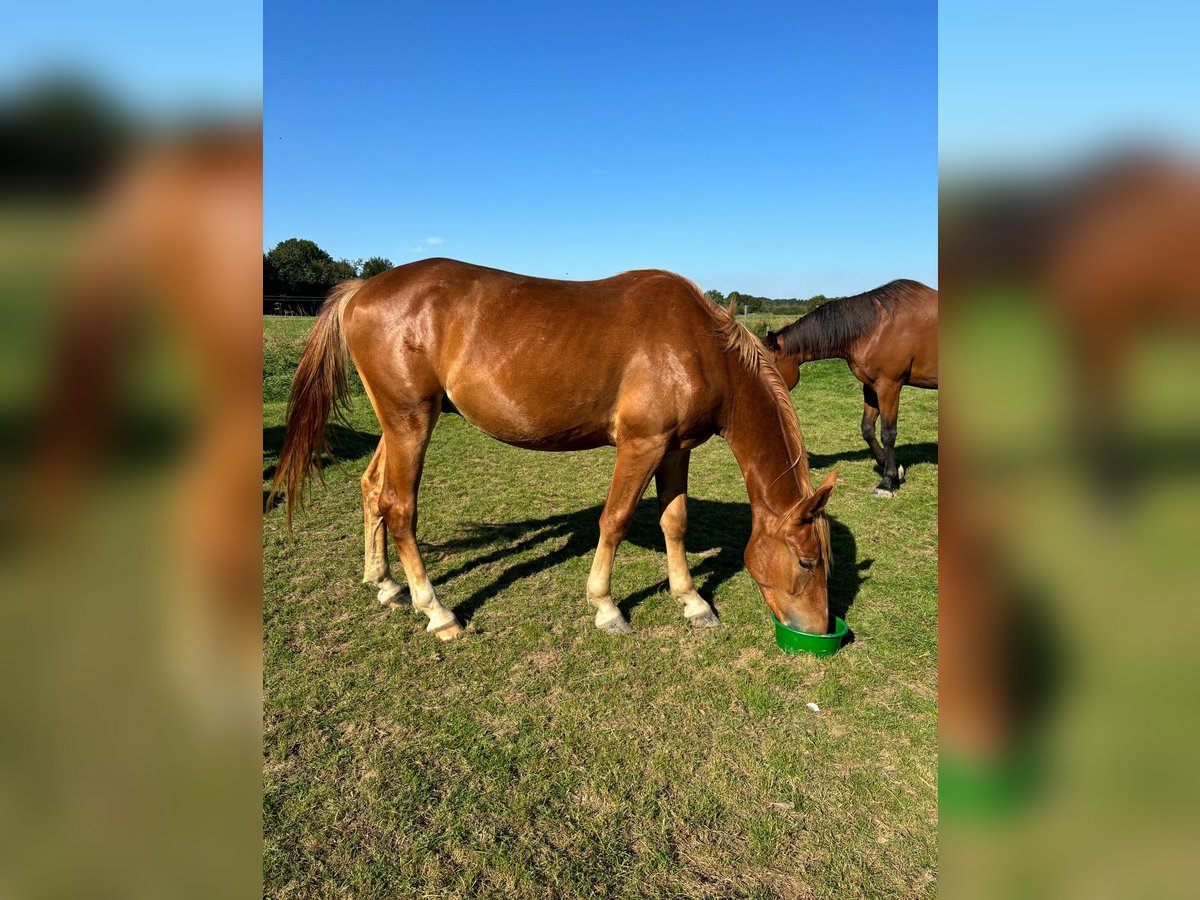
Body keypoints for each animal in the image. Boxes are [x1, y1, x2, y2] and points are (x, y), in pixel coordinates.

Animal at [268, 259, 840, 643]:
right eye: (808, 562)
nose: (818, 630)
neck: (699, 344)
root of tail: (364, 288)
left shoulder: (677, 450)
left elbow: (673, 521)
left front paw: (692, 600)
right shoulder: (642, 445)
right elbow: (616, 519)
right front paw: (606, 607)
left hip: (398, 424)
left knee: (372, 490)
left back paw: (384, 583)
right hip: (411, 423)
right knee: (400, 507)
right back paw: (437, 611)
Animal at [768, 280, 936, 496]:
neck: (876, 327)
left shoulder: (889, 386)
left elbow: (888, 433)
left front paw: (886, 482)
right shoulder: (872, 386)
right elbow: (867, 429)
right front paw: (894, 468)